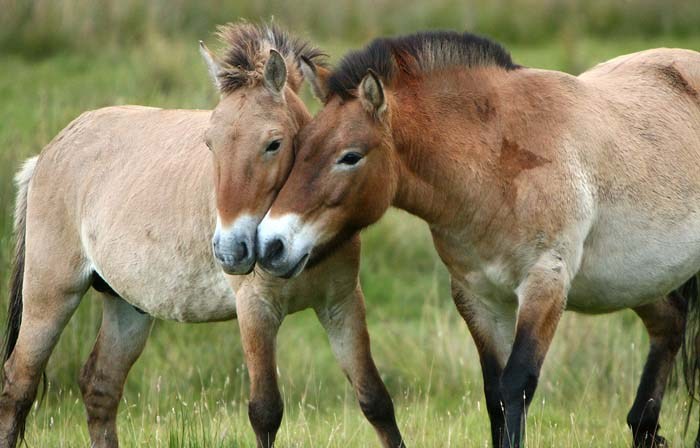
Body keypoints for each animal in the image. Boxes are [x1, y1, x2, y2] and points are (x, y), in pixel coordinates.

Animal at [0, 23, 405, 448]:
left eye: (274, 144)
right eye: (210, 143)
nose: (230, 251)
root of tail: (46, 153)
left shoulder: (341, 304)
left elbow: (376, 401)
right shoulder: (256, 310)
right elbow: (266, 412)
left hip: (127, 305)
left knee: (100, 387)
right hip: (51, 295)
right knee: (19, 384)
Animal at [255, 30, 700, 448]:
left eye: (350, 156)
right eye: (298, 145)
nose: (270, 244)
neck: (496, 161)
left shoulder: (545, 284)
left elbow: (517, 385)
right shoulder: (477, 296)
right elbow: (494, 392)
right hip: (639, 279)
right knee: (669, 324)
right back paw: (644, 428)